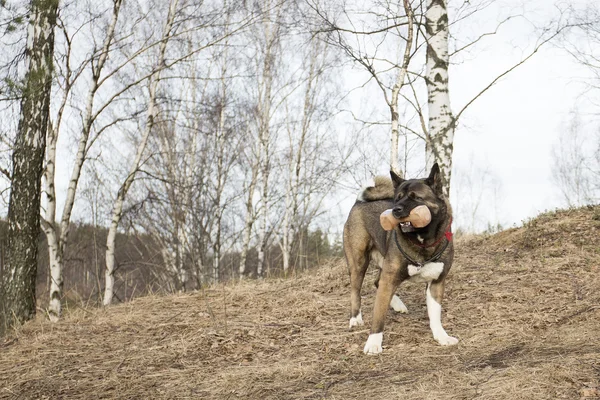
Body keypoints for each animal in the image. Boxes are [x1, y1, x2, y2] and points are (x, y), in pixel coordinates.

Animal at [344, 161, 458, 354]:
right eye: (398, 198)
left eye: (416, 198)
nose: (396, 210)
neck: (422, 241)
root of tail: (359, 202)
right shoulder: (389, 278)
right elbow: (378, 315)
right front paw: (373, 343)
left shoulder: (436, 282)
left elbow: (435, 315)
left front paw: (441, 336)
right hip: (359, 262)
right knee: (356, 290)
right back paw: (355, 319)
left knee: (377, 282)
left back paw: (398, 305)